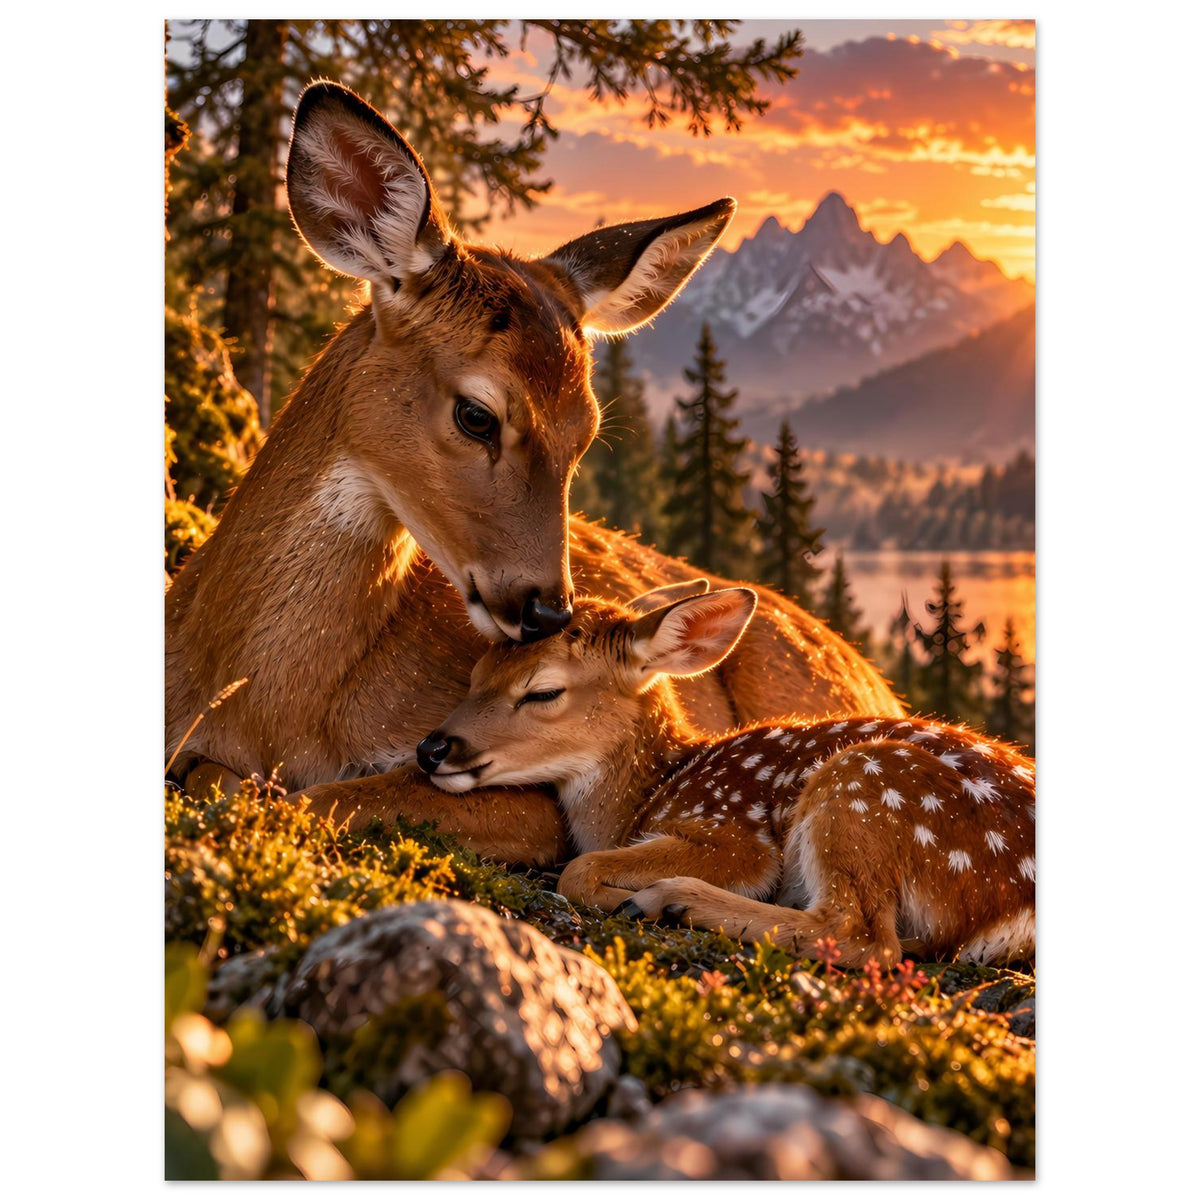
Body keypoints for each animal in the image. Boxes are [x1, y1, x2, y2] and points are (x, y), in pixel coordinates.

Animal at [166, 81, 903, 868]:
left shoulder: (531, 799)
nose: (550, 610)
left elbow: (321, 795)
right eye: (476, 415)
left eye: (587, 433)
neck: (259, 704)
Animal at [417, 583, 1036, 968]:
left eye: (543, 691)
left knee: (861, 936)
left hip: (864, 784)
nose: (431, 748)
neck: (649, 791)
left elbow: (580, 867)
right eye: (476, 673)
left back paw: (668, 900)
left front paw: (620, 893)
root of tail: (1016, 905)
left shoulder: (732, 832)